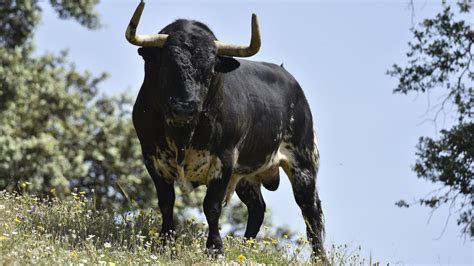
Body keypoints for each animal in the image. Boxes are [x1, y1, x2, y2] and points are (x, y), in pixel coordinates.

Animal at [126, 0, 326, 258]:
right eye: (166, 65)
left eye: (210, 69)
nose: (184, 107)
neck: (183, 134)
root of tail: (291, 81)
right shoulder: (152, 157)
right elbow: (166, 202)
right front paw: (166, 244)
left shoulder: (224, 160)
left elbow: (211, 206)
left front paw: (215, 248)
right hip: (246, 175)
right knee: (257, 208)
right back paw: (246, 247)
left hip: (304, 161)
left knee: (311, 210)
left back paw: (320, 257)